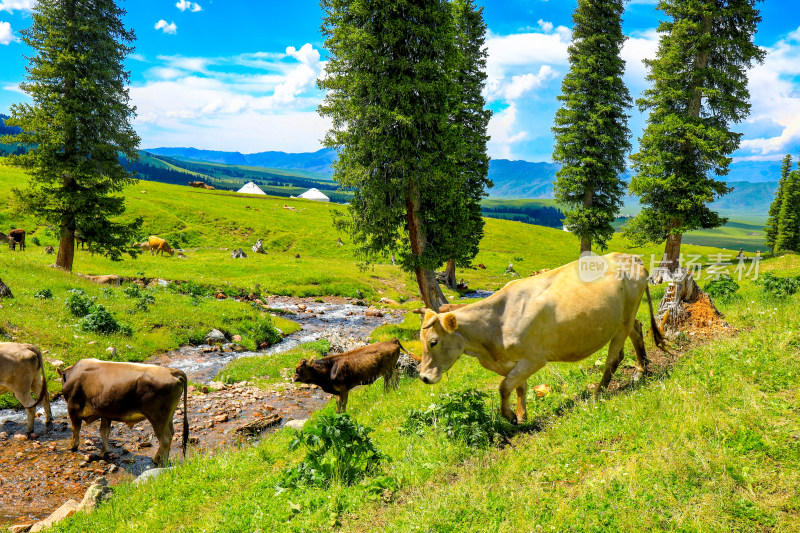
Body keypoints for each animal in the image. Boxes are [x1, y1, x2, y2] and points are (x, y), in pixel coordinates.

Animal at [59, 358, 189, 466]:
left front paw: (72, 446)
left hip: (157, 417)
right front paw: (104, 452)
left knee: (165, 439)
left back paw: (161, 463)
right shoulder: (105, 413)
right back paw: (157, 459)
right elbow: (104, 431)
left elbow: (76, 429)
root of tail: (171, 371)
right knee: (170, 434)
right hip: (168, 416)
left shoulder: (73, 408)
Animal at [416, 254, 664, 424]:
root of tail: (628, 256)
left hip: (625, 317)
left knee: (614, 357)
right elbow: (519, 387)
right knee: (637, 330)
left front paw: (509, 416)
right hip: (623, 317)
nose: (424, 377)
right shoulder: (514, 362)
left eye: (433, 342)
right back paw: (641, 369)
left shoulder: (534, 358)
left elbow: (504, 387)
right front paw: (521, 415)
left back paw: (598, 392)